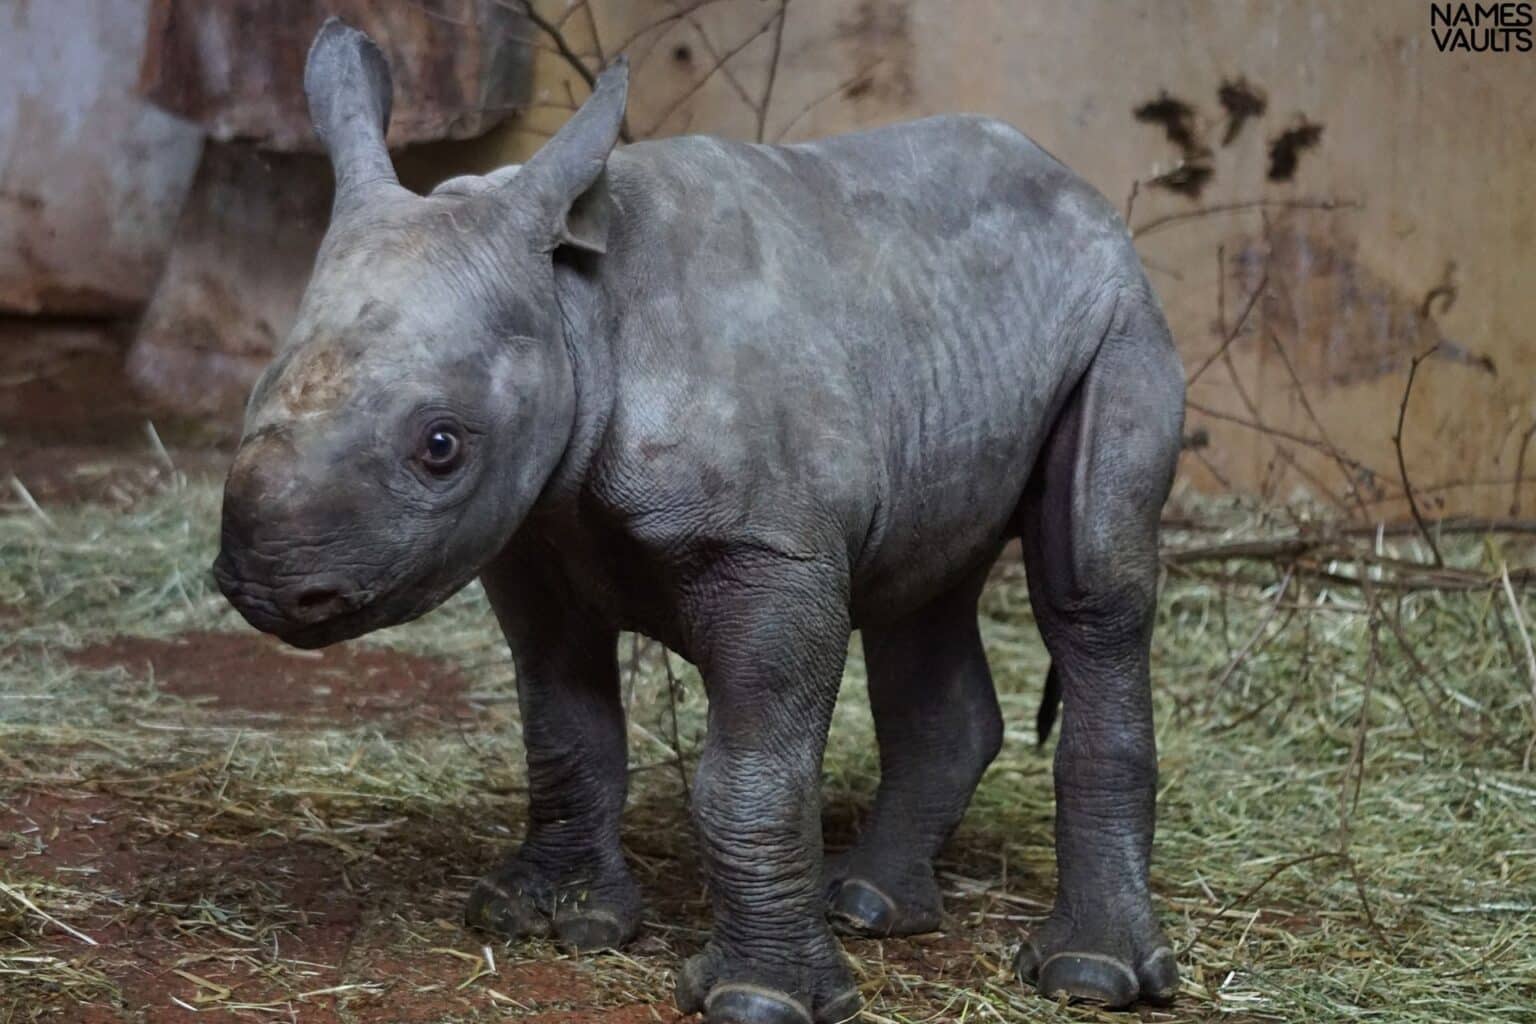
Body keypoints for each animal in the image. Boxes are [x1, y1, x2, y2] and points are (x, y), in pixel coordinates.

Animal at [212, 19, 1186, 1023]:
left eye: (440, 446)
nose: (266, 586)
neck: (575, 307)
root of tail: (1081, 188)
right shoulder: (532, 535)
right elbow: (563, 728)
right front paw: (549, 918)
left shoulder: (770, 550)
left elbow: (750, 776)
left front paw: (761, 1000)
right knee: (922, 583)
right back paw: (867, 906)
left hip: (1120, 315)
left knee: (1090, 590)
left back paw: (1086, 974)